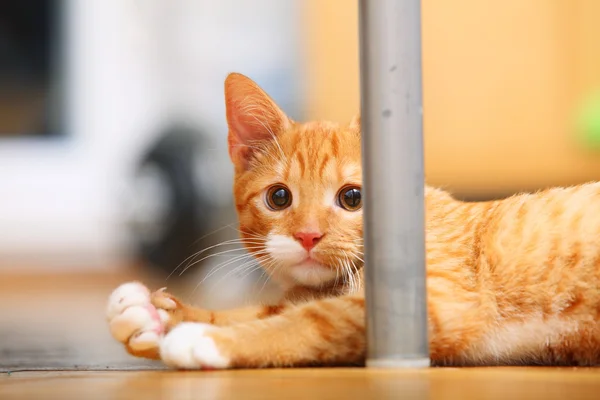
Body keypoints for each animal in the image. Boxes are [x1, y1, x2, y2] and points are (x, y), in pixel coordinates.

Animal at [106, 72, 600, 368]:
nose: (308, 235)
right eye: (278, 197)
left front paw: (207, 339)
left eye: (352, 197)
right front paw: (161, 315)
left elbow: (309, 320)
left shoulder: (437, 303)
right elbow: (273, 309)